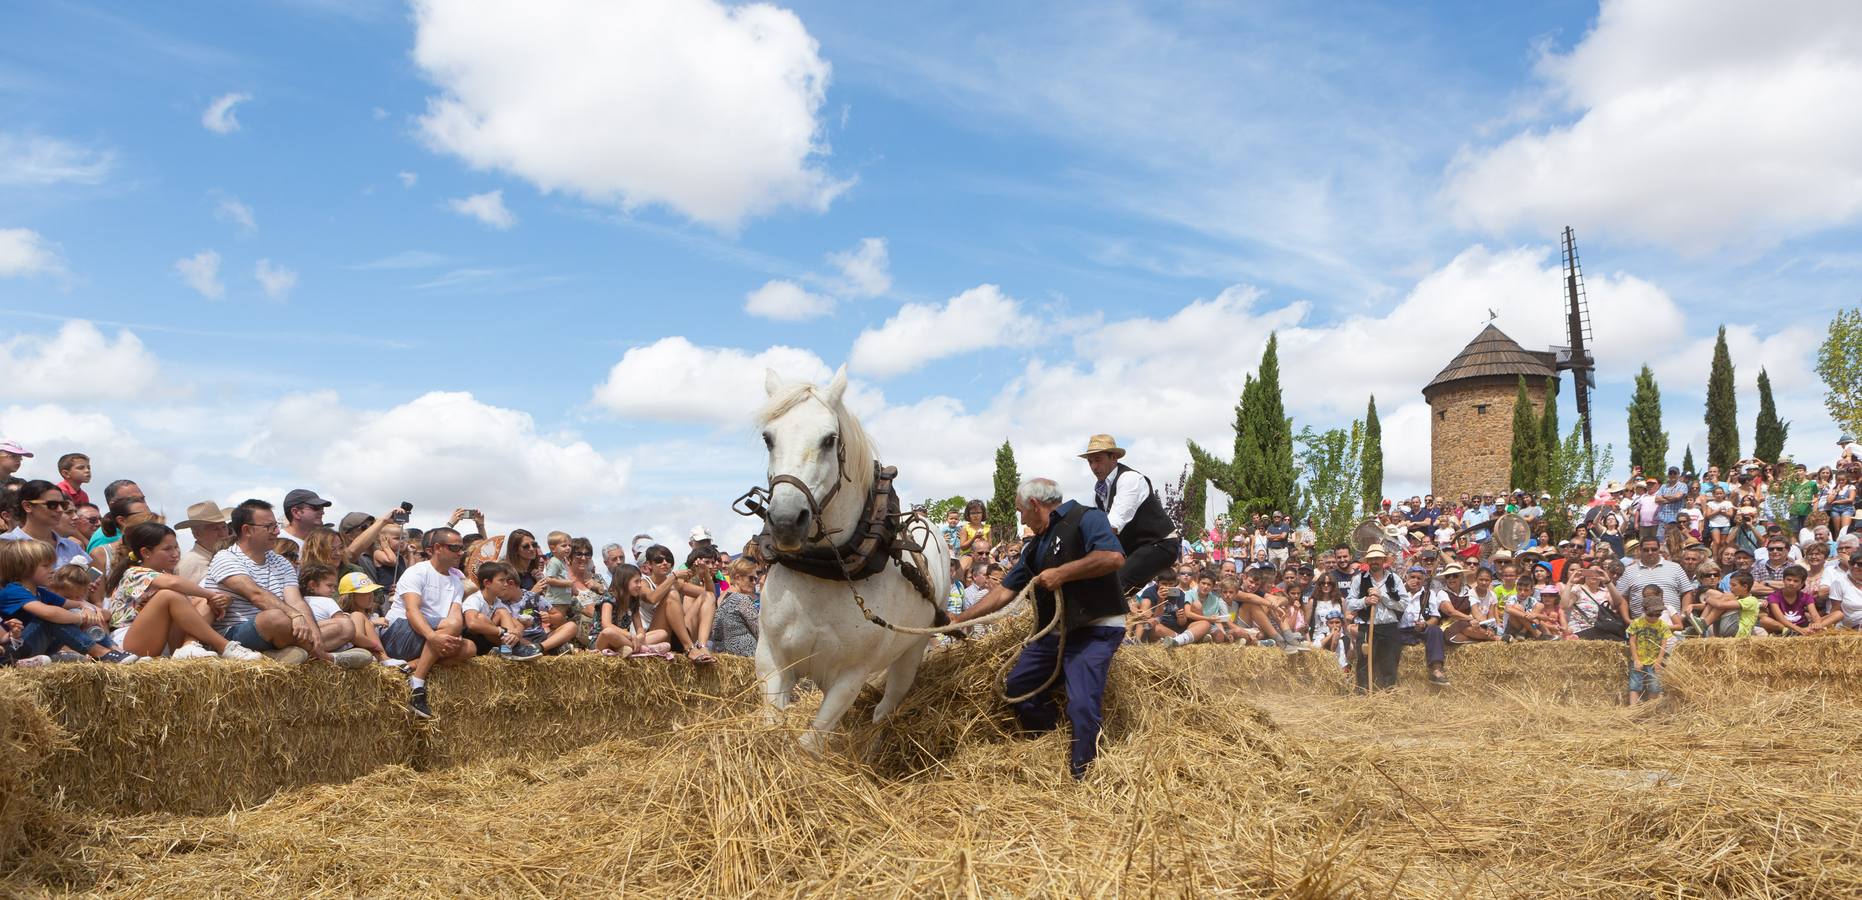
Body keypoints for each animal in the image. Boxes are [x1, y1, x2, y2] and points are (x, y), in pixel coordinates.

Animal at [755, 367, 953, 752]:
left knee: (887, 706)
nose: (786, 521)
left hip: (911, 650)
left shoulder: (850, 676)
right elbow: (773, 721)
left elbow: (810, 743)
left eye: (829, 440)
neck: (825, 570)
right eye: (768, 438)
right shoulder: (772, 660)